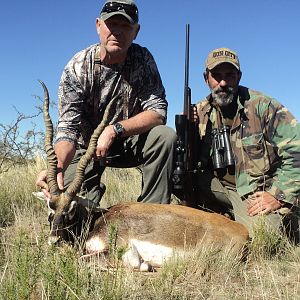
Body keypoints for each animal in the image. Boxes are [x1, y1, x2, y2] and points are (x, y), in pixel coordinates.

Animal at [36, 81, 250, 270]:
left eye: (71, 209)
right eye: (50, 207)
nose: (54, 240)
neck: (98, 219)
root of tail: (244, 233)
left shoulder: (123, 253)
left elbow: (87, 260)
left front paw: (144, 266)